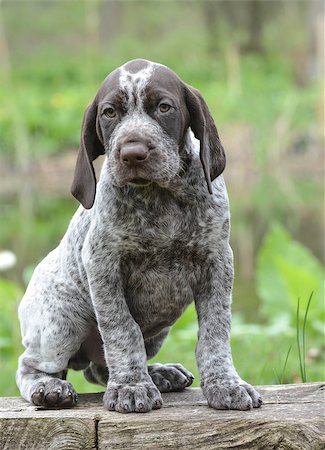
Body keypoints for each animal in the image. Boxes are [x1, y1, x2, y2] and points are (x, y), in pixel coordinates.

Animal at [16, 59, 262, 412]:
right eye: (109, 113)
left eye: (163, 107)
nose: (132, 153)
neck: (160, 197)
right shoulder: (104, 267)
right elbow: (123, 330)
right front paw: (131, 387)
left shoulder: (218, 262)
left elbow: (216, 332)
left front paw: (225, 384)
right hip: (62, 320)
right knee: (31, 365)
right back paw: (50, 388)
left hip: (156, 332)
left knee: (99, 369)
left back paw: (159, 373)